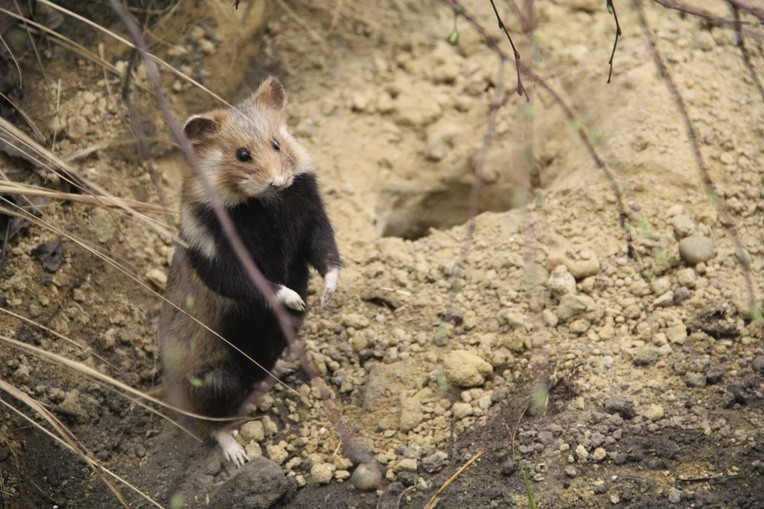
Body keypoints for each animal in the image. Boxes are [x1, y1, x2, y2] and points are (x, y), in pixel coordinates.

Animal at [158, 75, 340, 464]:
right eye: (242, 154)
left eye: (276, 143)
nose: (278, 182)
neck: (263, 202)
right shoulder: (217, 255)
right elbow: (254, 283)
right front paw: (295, 298)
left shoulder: (312, 217)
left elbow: (327, 253)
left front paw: (324, 298)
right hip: (214, 380)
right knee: (213, 423)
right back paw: (238, 454)